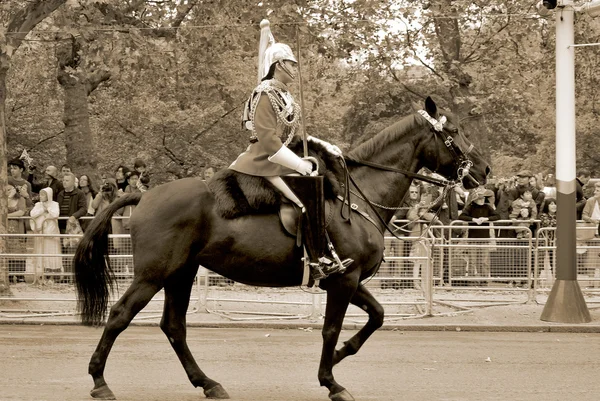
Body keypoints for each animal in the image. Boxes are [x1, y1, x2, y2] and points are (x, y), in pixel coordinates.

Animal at [74, 95, 488, 398]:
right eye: (453, 131)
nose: (484, 170)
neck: (357, 196)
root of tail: (143, 196)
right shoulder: (343, 280)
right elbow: (330, 329)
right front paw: (331, 380)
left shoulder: (349, 278)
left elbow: (378, 316)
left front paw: (340, 357)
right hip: (153, 274)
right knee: (120, 315)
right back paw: (99, 381)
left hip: (182, 273)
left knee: (174, 326)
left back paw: (207, 383)